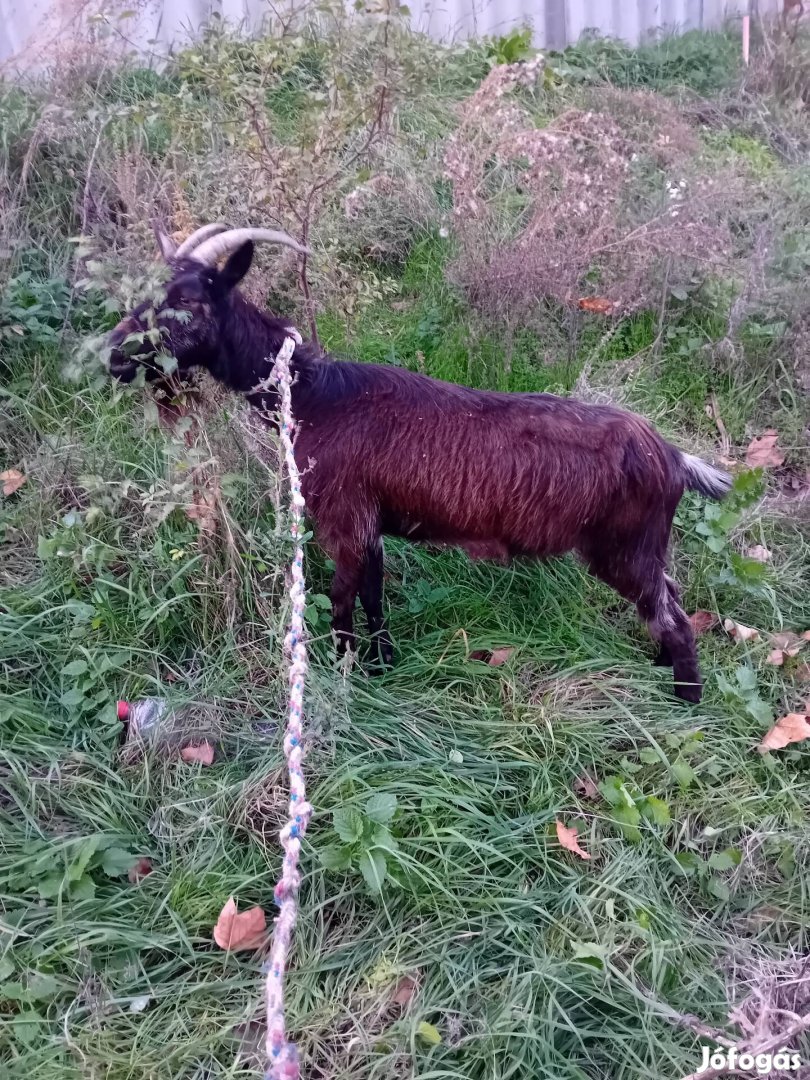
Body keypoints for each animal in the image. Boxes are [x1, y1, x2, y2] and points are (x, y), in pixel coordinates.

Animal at [108, 223, 734, 704]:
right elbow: (374, 594)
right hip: (643, 548)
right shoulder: (371, 524)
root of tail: (673, 457)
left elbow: (341, 599)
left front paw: (345, 677)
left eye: (189, 300)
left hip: (621, 548)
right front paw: (382, 664)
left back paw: (686, 702)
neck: (313, 396)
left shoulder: (343, 518)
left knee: (675, 619)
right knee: (670, 597)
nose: (115, 356)